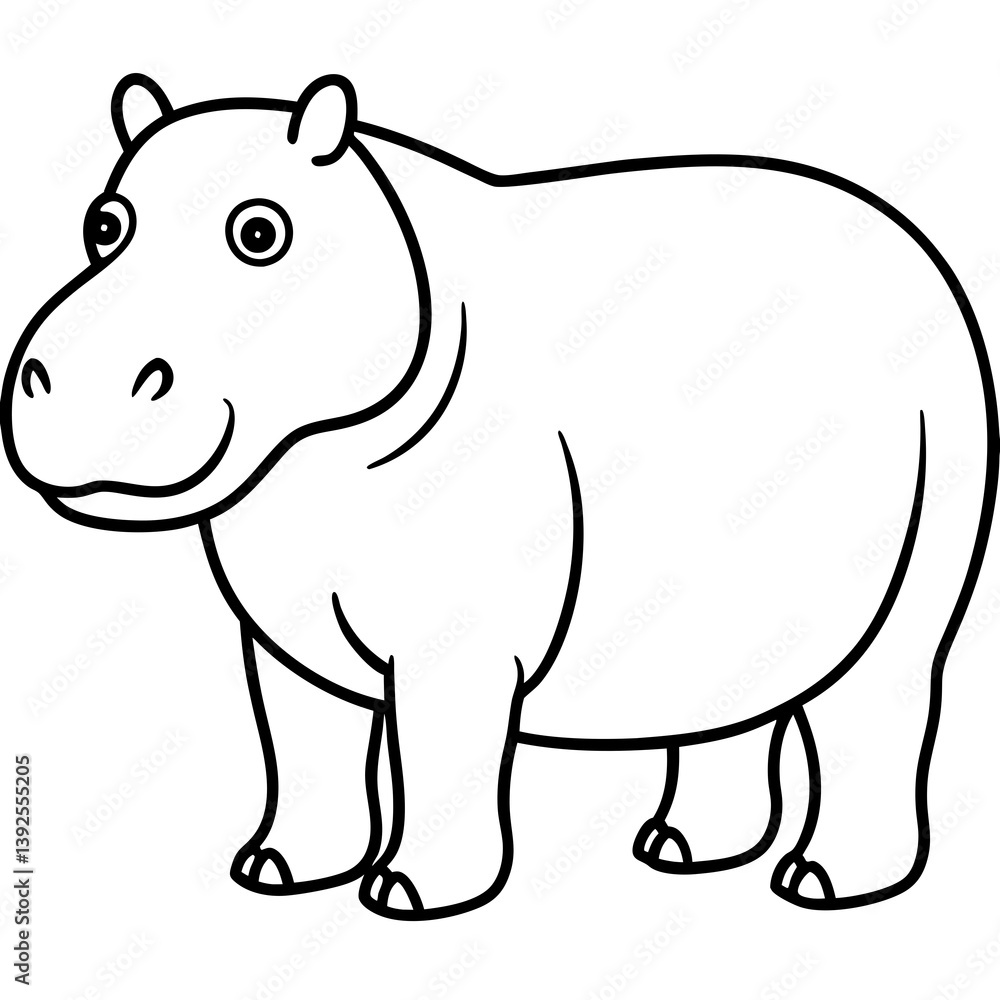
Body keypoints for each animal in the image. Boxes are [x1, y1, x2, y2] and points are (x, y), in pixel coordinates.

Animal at [3, 73, 996, 920]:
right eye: (102, 225)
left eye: (259, 233)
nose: (78, 383)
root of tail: (924, 250)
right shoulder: (282, 633)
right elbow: (301, 745)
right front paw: (274, 871)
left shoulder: (459, 640)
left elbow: (441, 752)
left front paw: (405, 895)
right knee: (734, 683)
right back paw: (677, 851)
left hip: (922, 554)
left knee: (881, 693)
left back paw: (824, 882)